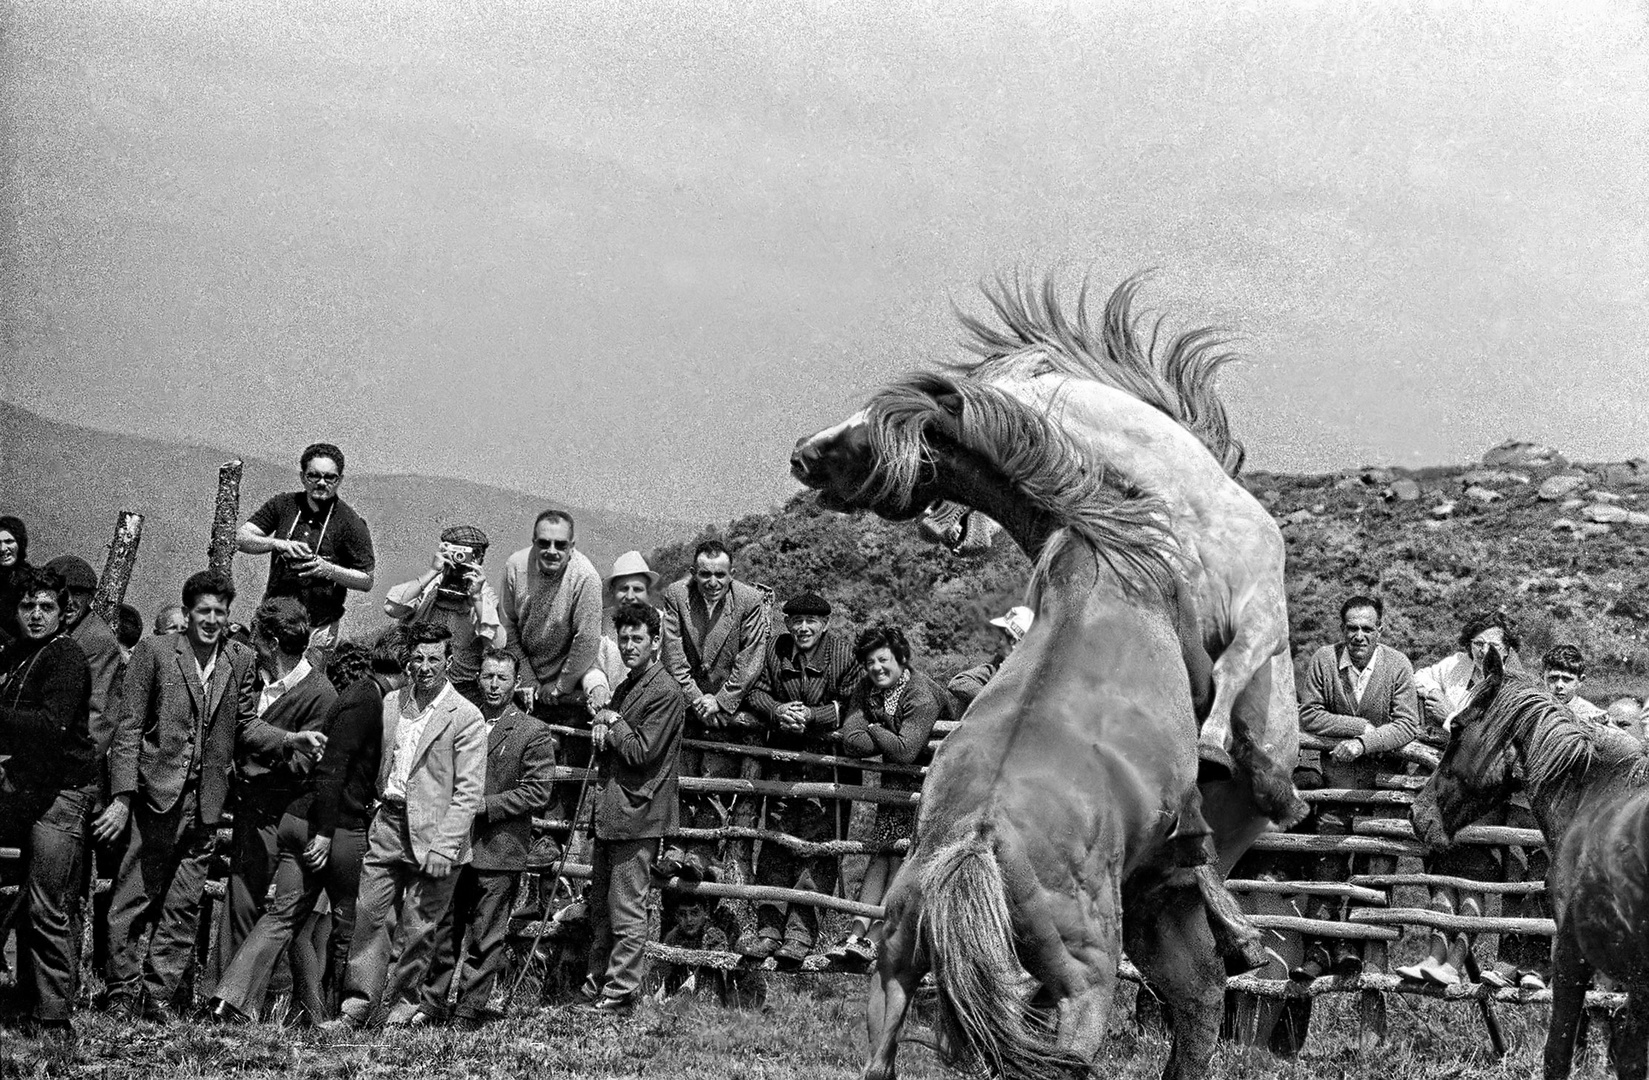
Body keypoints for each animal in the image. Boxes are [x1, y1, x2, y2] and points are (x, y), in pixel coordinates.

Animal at [791, 372, 1253, 1080]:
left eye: (861, 434)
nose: (801, 455)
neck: (1103, 551)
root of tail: (976, 847)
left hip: (893, 967)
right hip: (1084, 987)